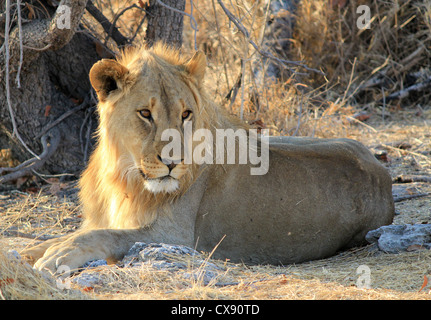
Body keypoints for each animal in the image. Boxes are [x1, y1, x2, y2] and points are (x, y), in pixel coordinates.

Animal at [22, 43, 394, 272]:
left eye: (186, 114)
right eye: (145, 114)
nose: (173, 162)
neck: (122, 176)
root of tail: (383, 173)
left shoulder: (175, 236)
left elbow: (104, 236)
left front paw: (59, 255)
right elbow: (69, 234)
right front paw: (35, 250)